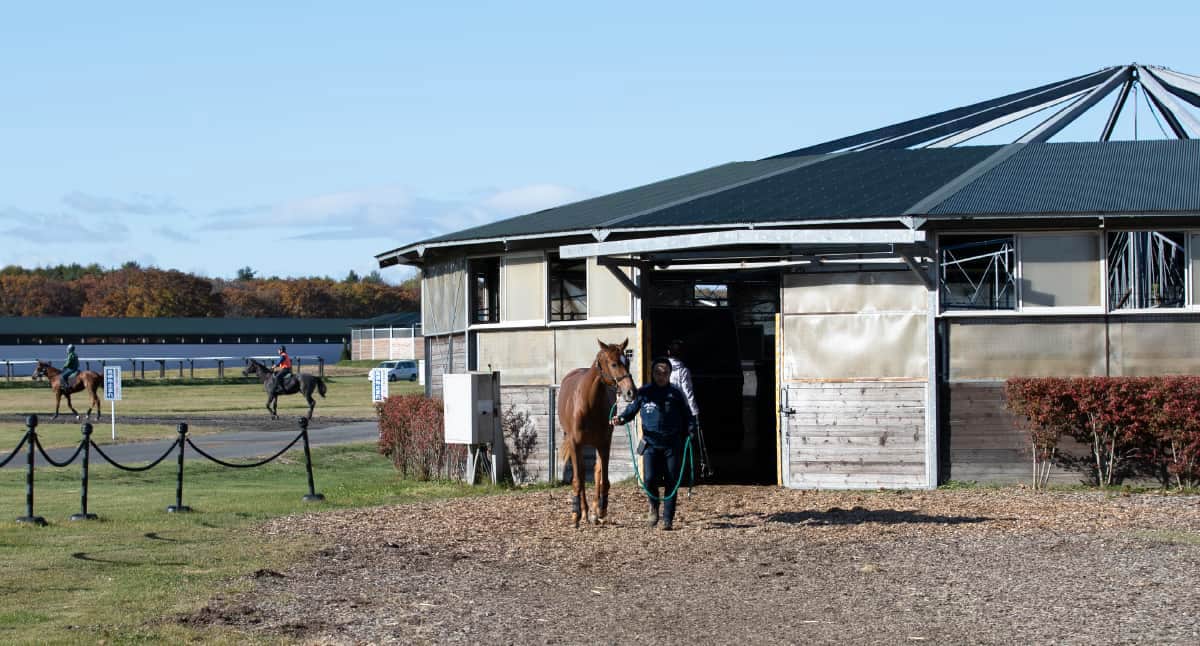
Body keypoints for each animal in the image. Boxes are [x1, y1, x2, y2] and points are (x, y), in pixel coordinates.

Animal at [559, 338, 638, 525]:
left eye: (627, 362)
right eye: (614, 364)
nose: (631, 392)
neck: (587, 403)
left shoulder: (604, 443)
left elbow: (603, 478)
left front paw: (601, 510)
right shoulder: (575, 443)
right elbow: (578, 479)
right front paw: (576, 513)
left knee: (596, 472)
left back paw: (594, 511)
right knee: (580, 473)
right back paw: (584, 511)